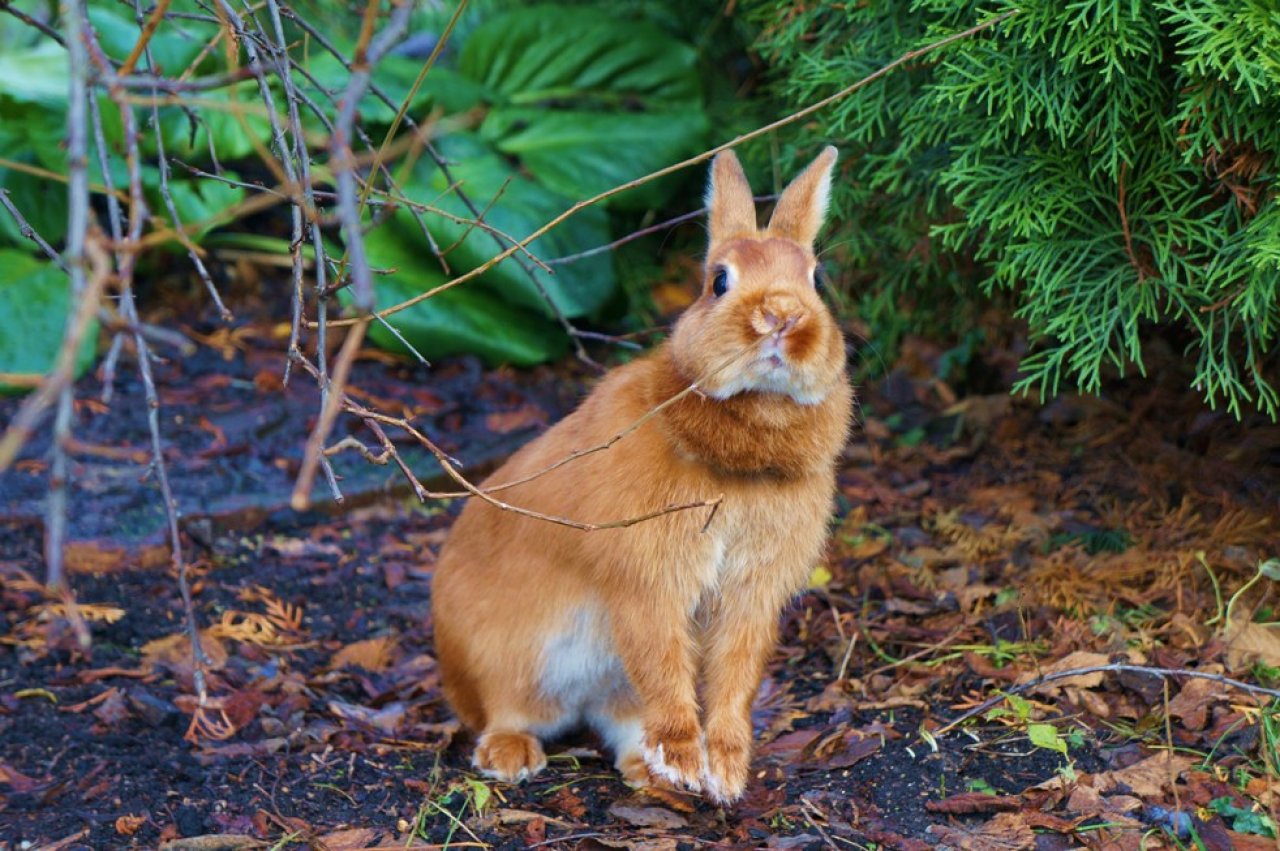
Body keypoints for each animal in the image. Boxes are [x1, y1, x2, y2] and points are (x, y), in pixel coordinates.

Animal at [431, 146, 852, 804]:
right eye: (719, 281)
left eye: (816, 279)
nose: (782, 315)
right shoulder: (647, 578)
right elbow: (661, 656)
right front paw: (686, 757)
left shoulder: (751, 595)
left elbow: (736, 673)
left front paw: (725, 772)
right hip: (504, 658)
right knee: (506, 709)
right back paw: (514, 756)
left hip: (613, 686)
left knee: (624, 724)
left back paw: (649, 774)